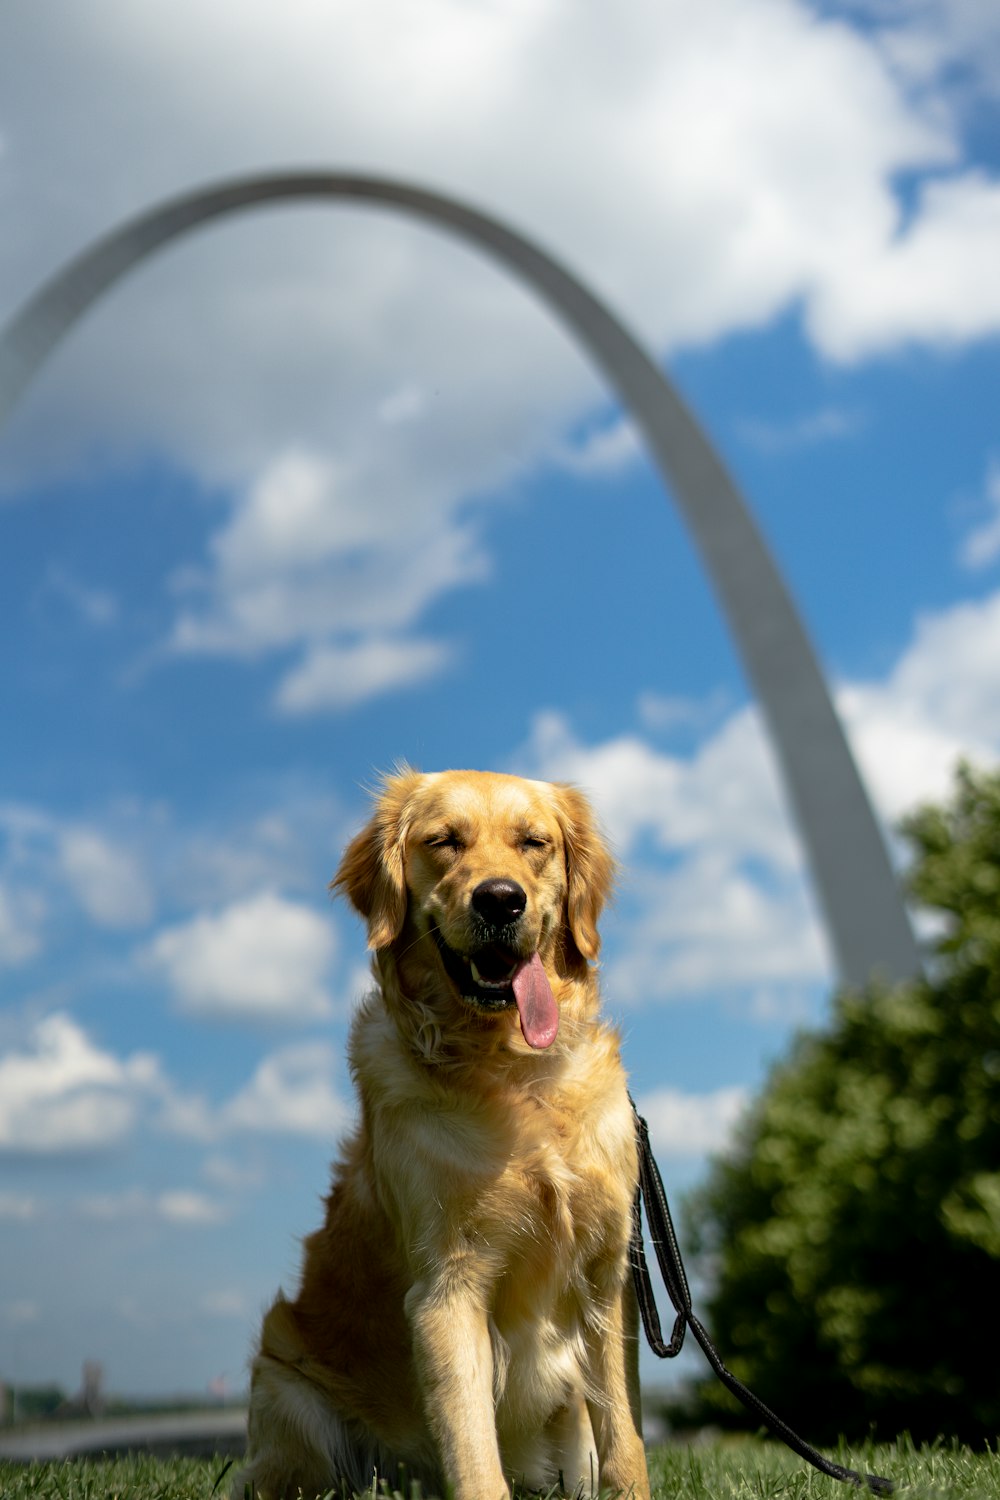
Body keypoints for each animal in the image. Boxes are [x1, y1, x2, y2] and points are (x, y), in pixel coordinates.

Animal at [235, 774, 650, 1500]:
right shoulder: (446, 1287)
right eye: (444, 842)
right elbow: (472, 1445)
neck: (512, 1070)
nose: (501, 898)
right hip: (289, 1400)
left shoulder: (606, 1274)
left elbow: (624, 1437)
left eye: (533, 843)